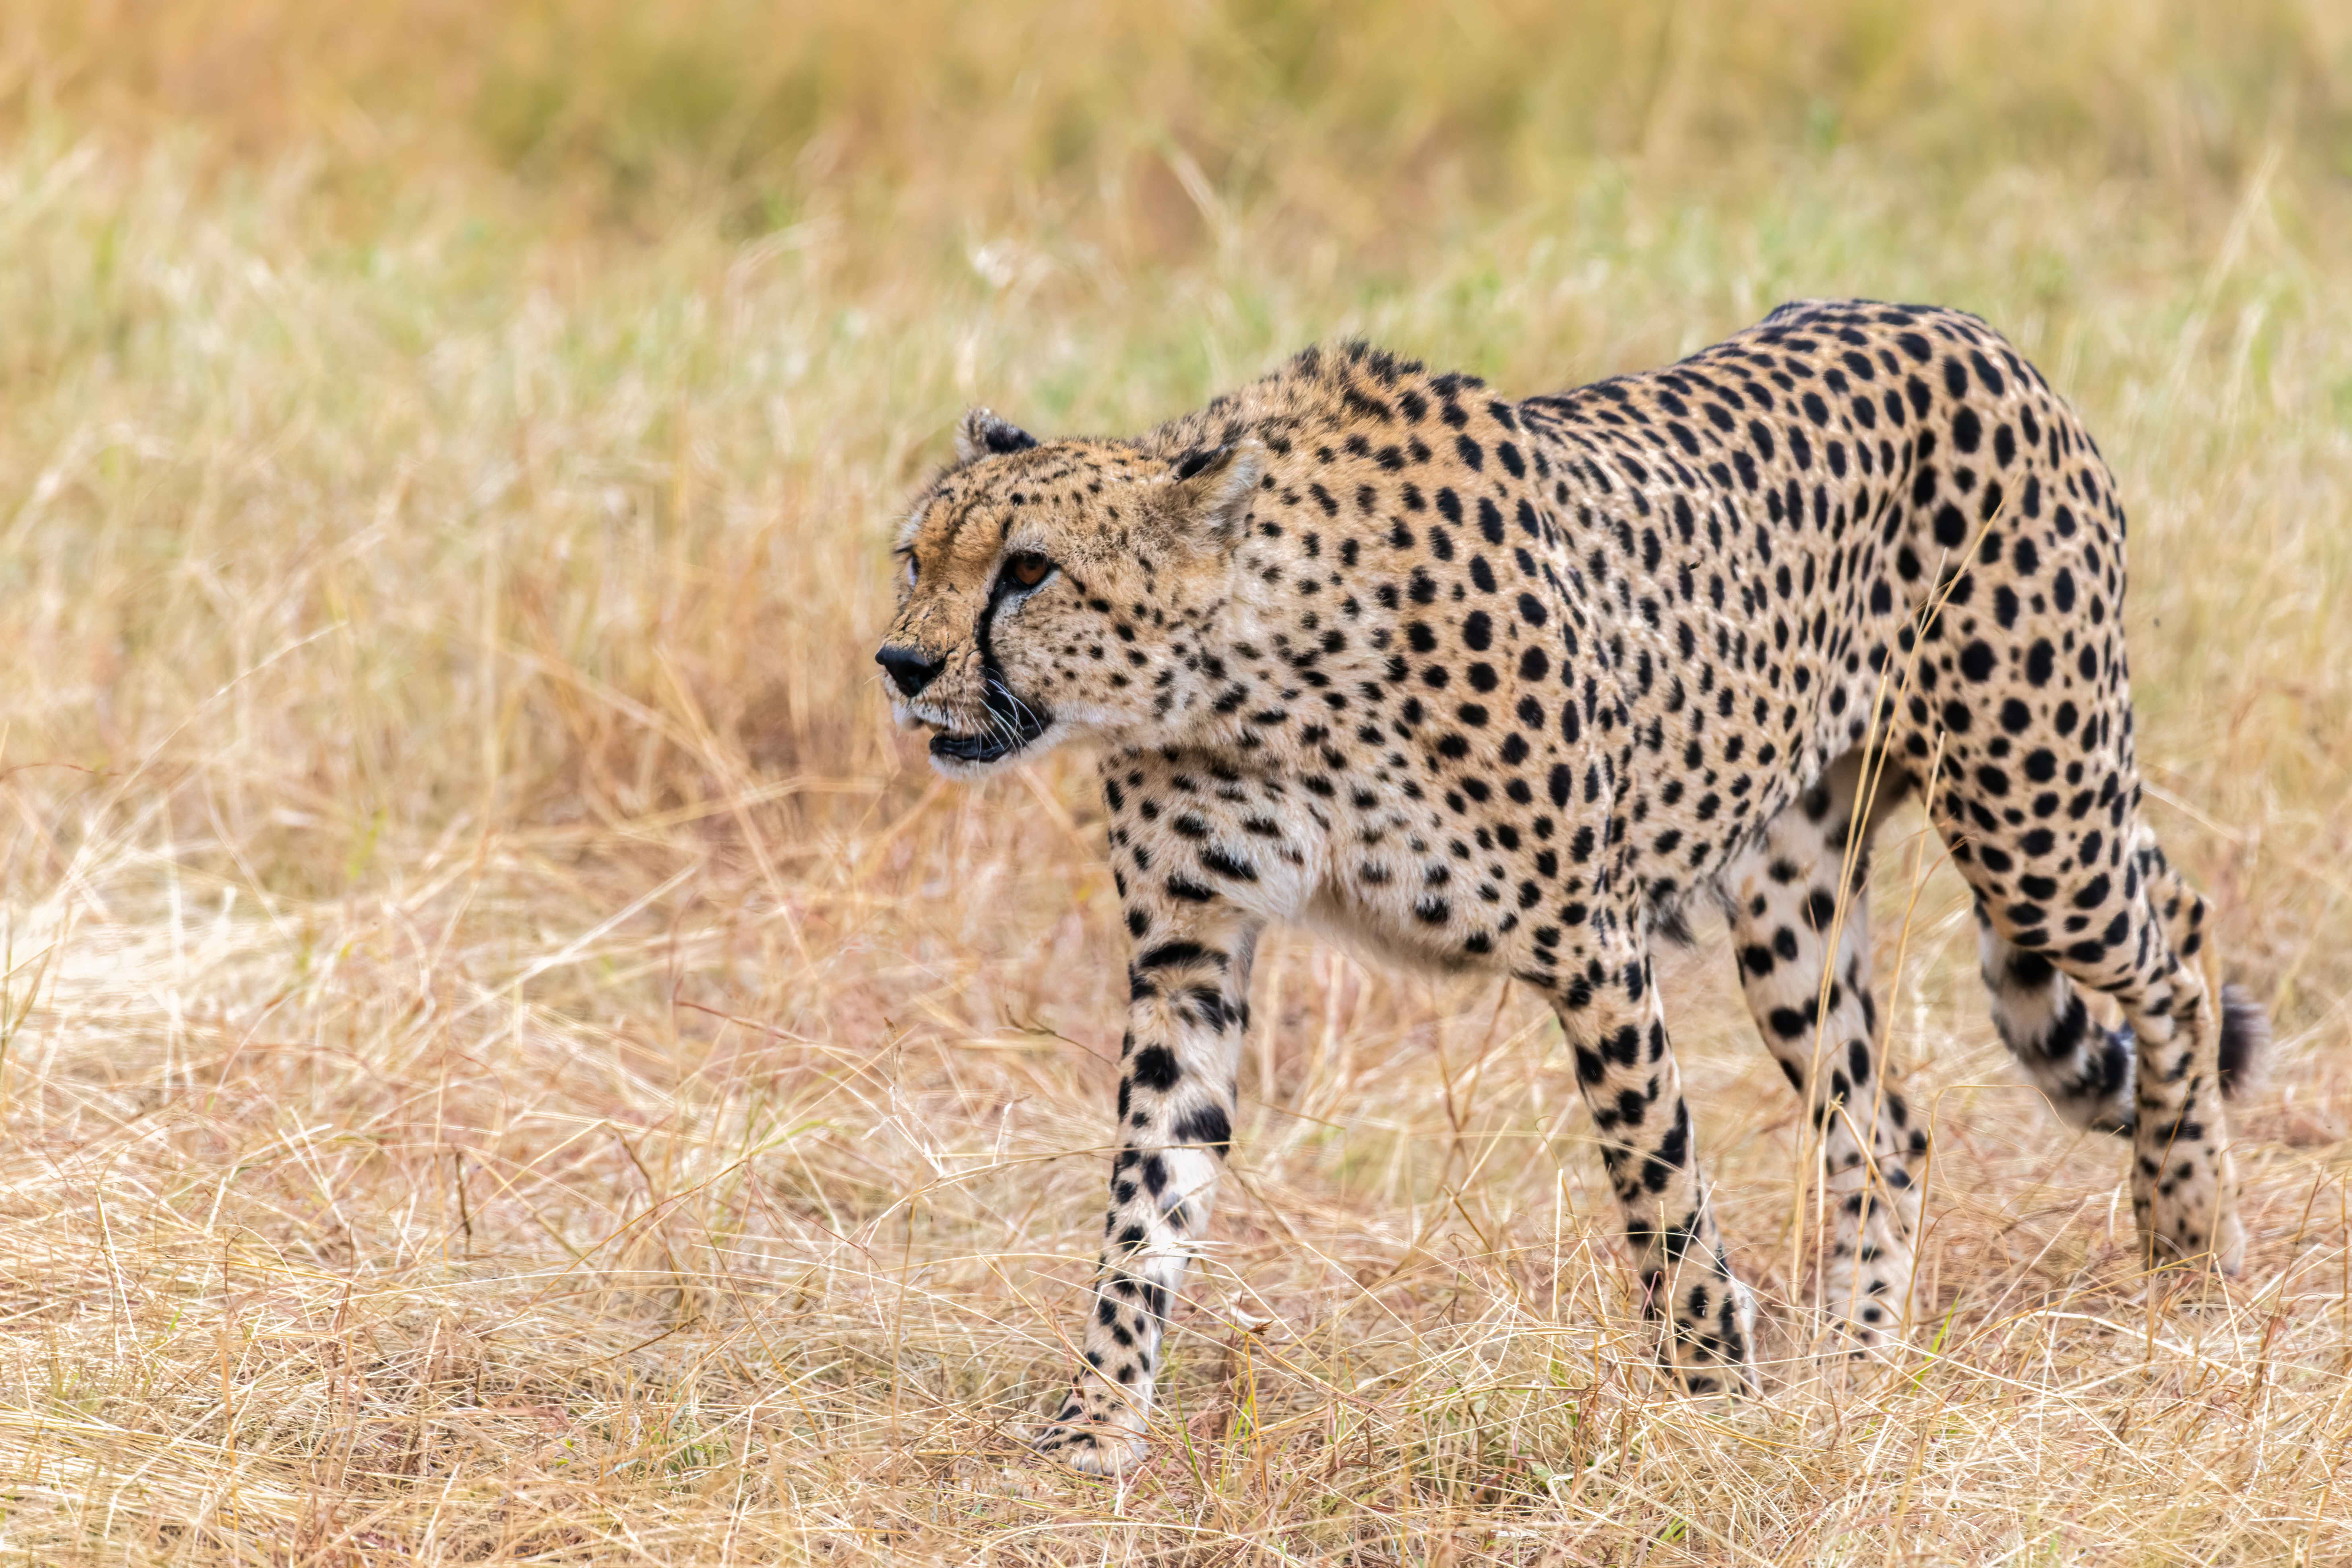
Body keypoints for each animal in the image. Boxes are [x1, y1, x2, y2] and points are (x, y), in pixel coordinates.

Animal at [876, 299, 2271, 1476]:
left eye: (1027, 570)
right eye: (913, 557)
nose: (900, 663)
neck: (1242, 684)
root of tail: (1961, 325)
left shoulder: (1587, 946)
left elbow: (1659, 1187)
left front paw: (1711, 1397)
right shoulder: (1190, 958)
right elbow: (1144, 1199)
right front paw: (1097, 1422)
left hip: (2034, 816)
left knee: (2179, 938)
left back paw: (2186, 1234)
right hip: (1793, 906)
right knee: (1884, 1127)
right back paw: (1857, 1363)